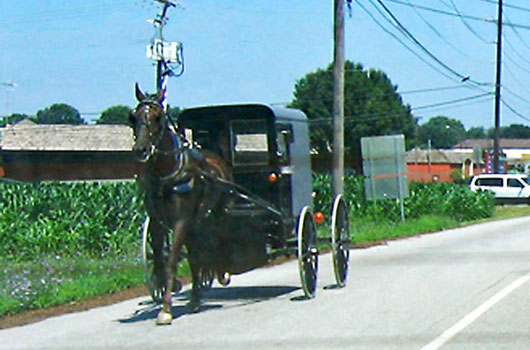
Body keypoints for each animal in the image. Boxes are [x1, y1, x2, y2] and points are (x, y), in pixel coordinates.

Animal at [129, 84, 230, 326]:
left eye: (157, 117)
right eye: (133, 117)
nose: (141, 149)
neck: (168, 174)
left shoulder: (181, 222)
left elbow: (172, 261)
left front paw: (166, 309)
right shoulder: (158, 224)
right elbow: (160, 260)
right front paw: (167, 288)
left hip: (215, 213)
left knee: (217, 239)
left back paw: (221, 273)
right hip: (194, 224)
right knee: (195, 255)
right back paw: (194, 298)